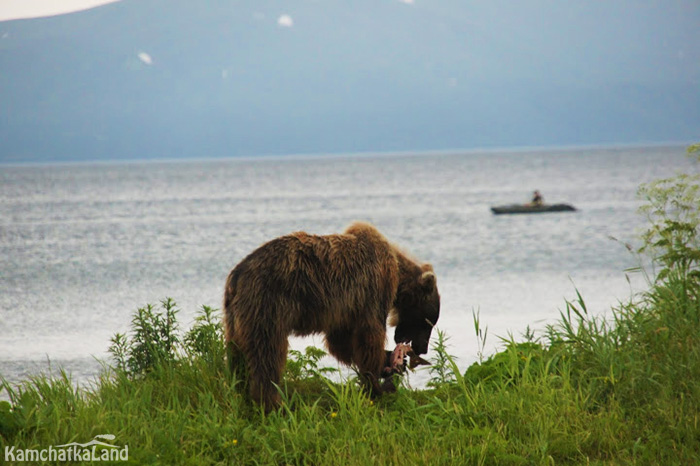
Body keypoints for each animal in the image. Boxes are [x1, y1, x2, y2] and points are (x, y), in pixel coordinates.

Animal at [221, 220, 440, 410]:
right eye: (428, 322)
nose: (422, 349)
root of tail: (236, 276)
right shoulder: (372, 291)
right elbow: (369, 336)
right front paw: (377, 384)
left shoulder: (345, 310)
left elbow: (341, 343)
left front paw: (388, 363)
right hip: (267, 305)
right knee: (267, 353)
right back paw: (273, 403)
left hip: (236, 317)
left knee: (237, 353)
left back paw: (239, 389)